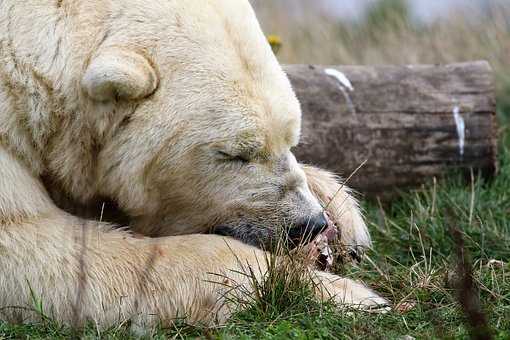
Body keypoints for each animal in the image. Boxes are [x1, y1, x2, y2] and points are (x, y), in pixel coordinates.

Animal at [0, 0, 382, 330]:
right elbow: (47, 250)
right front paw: (345, 294)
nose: (308, 225)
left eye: (291, 138)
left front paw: (342, 217)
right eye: (234, 154)